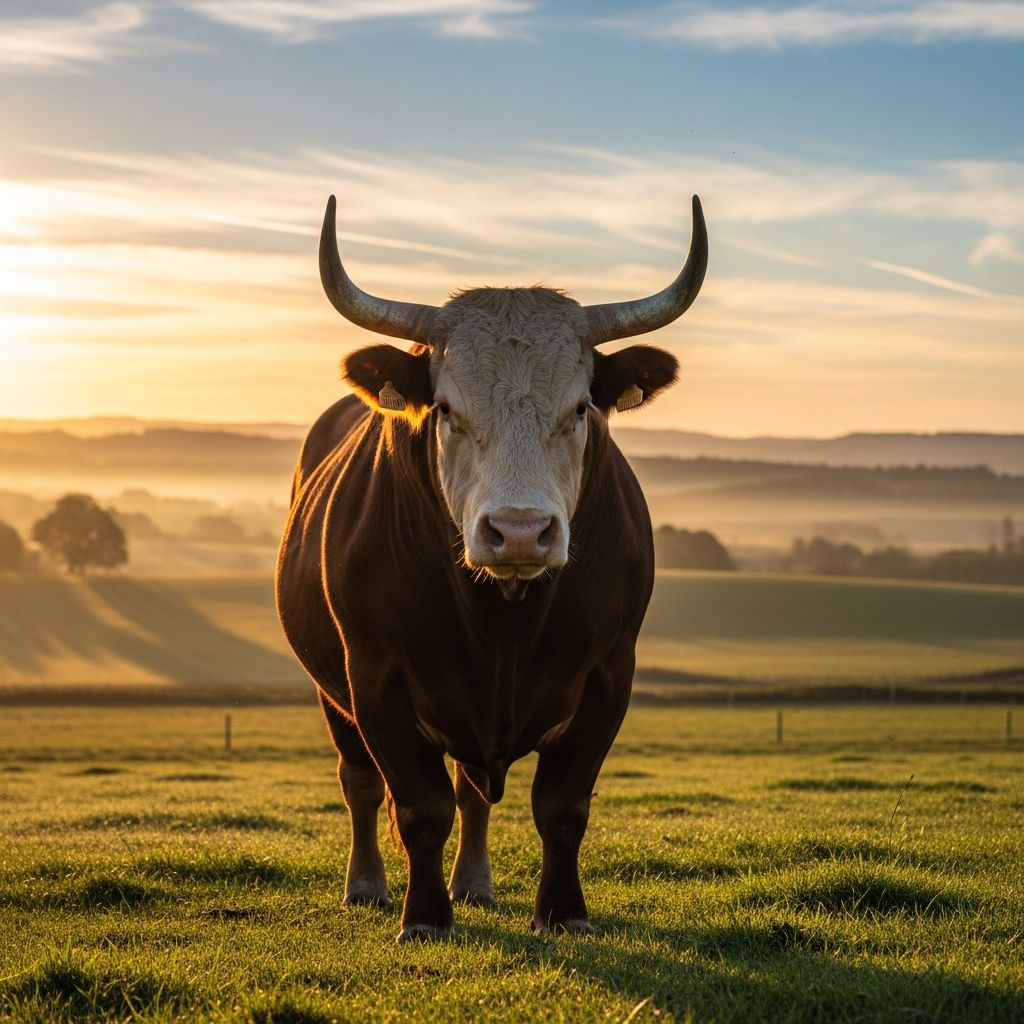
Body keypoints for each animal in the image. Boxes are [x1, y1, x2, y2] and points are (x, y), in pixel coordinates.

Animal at [276, 194, 707, 942]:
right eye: (447, 409)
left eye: (581, 408)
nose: (520, 533)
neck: (504, 622)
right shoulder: (374, 677)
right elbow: (419, 806)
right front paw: (424, 919)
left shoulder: (609, 673)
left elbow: (561, 806)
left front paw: (562, 913)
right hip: (333, 694)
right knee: (360, 782)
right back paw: (366, 885)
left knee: (474, 791)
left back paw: (473, 882)